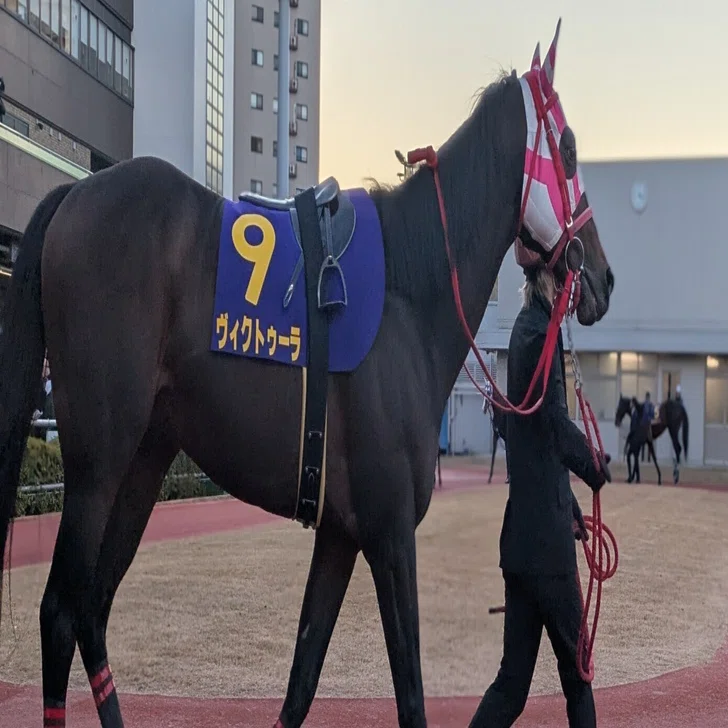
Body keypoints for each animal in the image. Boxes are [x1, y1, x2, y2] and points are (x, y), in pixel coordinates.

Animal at [0, 24, 613, 728]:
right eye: (568, 148)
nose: (602, 278)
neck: (409, 289)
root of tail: (75, 191)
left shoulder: (341, 533)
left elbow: (302, 678)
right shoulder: (389, 532)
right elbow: (409, 694)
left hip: (144, 462)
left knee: (93, 610)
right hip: (98, 461)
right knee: (61, 613)